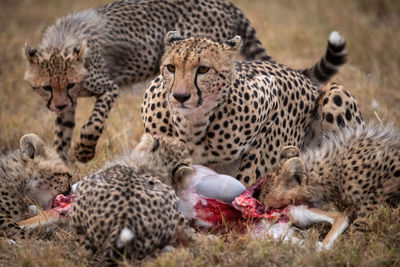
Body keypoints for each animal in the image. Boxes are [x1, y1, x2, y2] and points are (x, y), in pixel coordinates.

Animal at [22, 0, 340, 164]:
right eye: (46, 87)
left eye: (70, 84)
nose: (58, 103)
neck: (62, 44)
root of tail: (226, 4)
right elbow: (62, 133)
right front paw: (60, 161)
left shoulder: (106, 87)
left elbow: (94, 121)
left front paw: (83, 150)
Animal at [141, 31, 362, 188]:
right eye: (171, 67)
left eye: (203, 69)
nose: (180, 96)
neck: (193, 121)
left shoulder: (271, 97)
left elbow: (249, 167)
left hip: (335, 92)